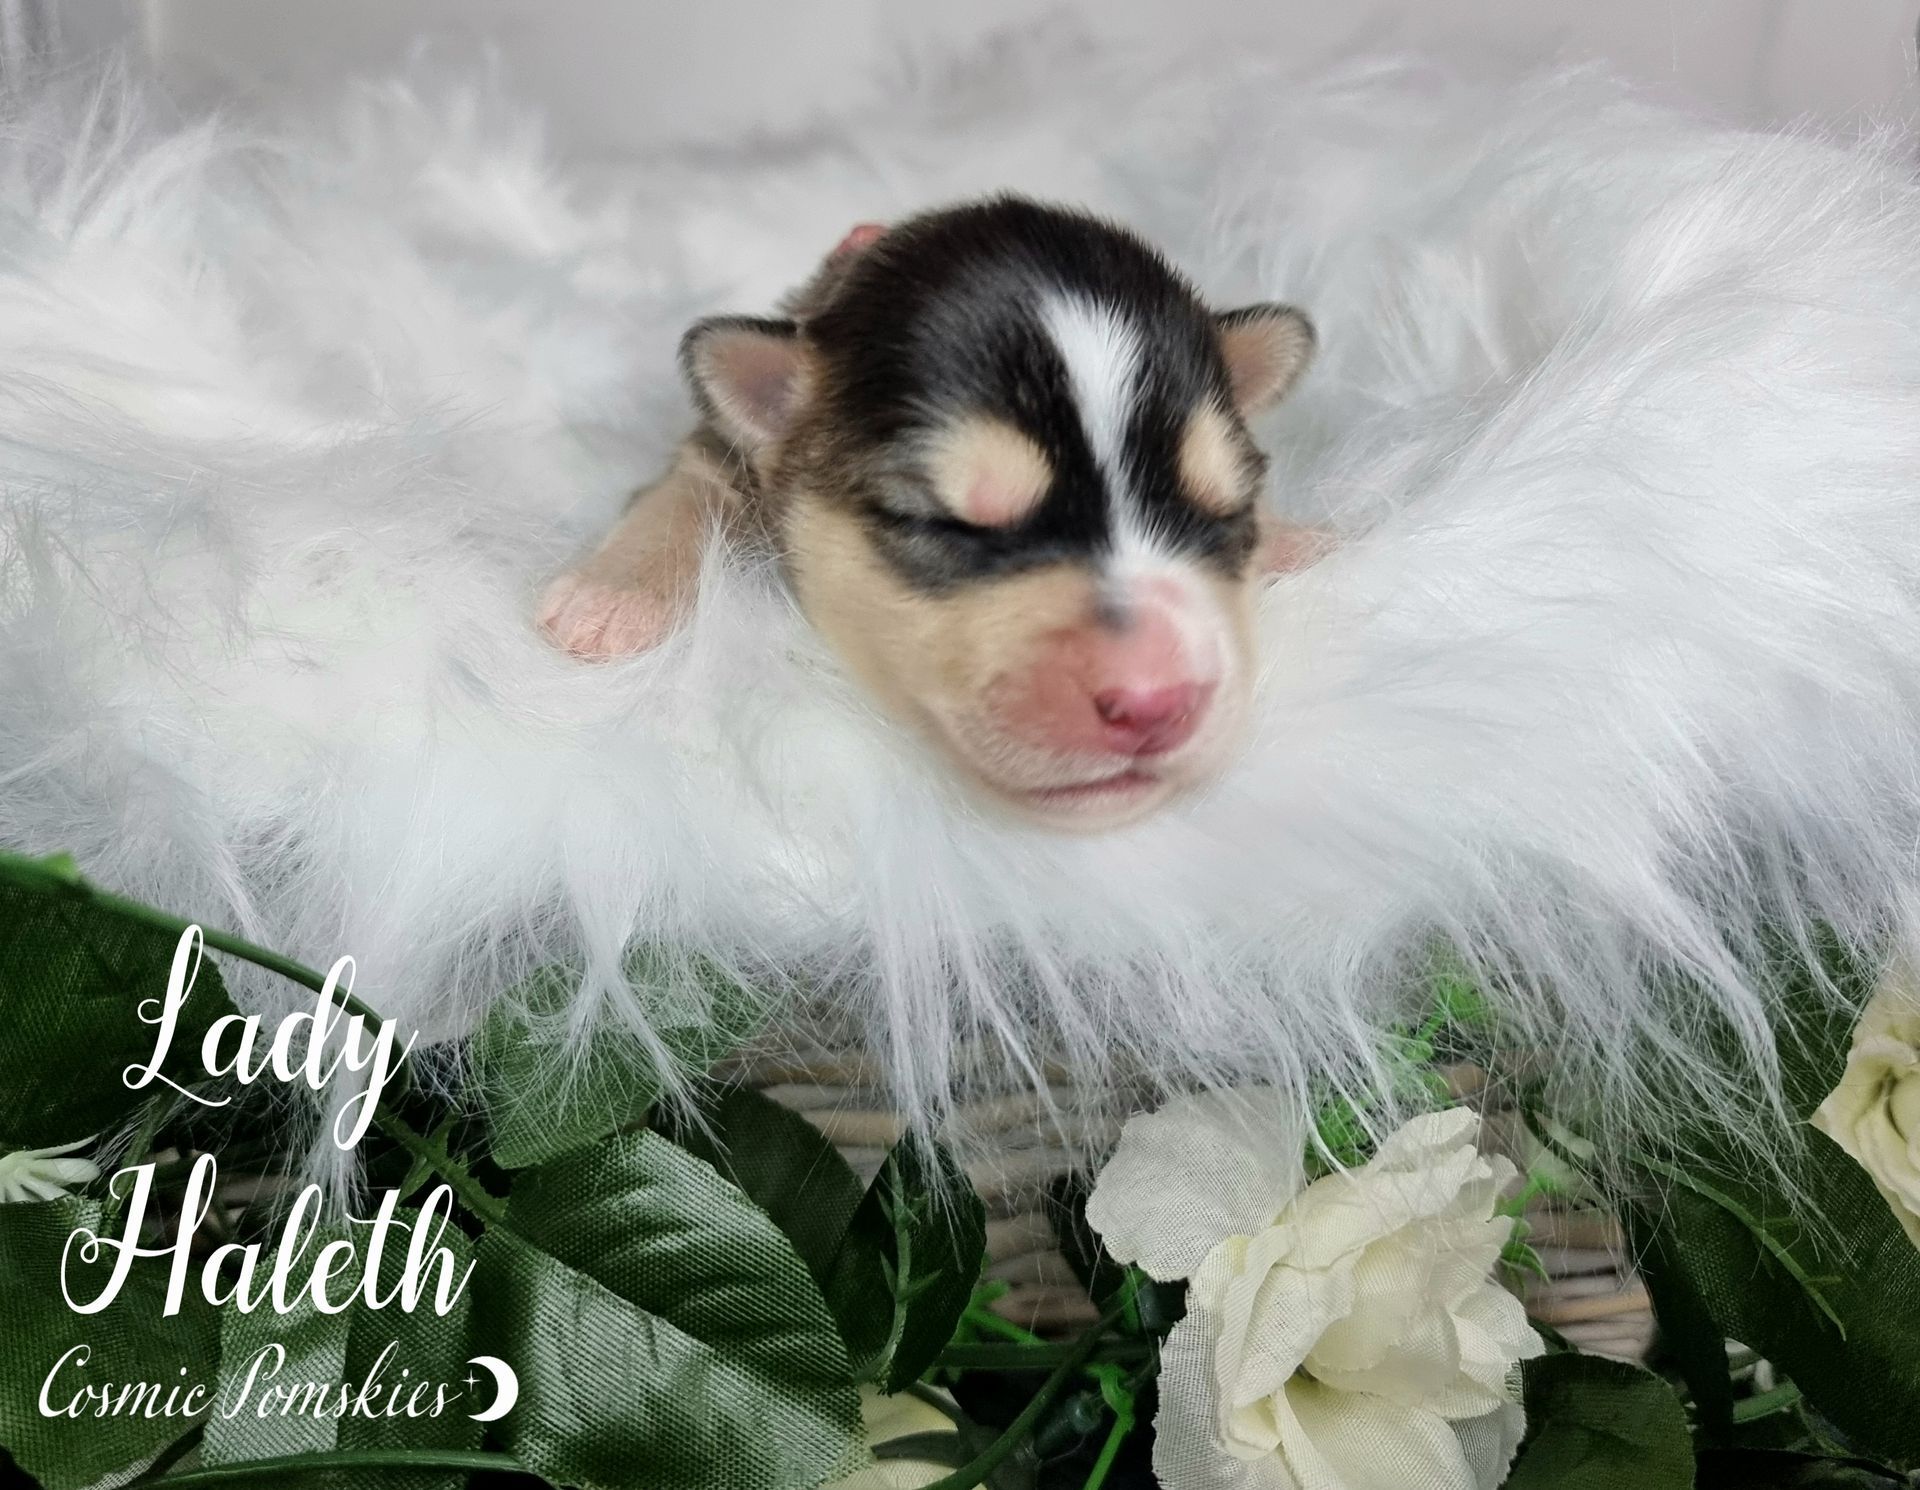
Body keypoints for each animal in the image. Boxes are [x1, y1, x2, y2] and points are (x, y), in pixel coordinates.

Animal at [539, 197, 1322, 829]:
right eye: (951, 526)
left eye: (1223, 512)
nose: (1154, 703)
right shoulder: (716, 448)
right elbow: (684, 490)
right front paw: (613, 599)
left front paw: (1295, 542)